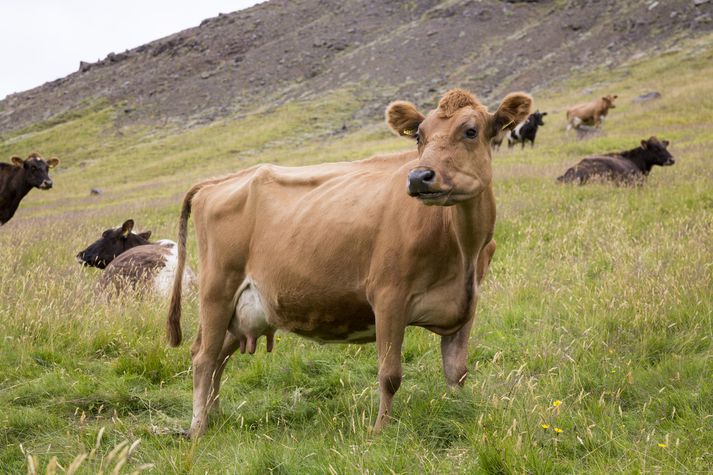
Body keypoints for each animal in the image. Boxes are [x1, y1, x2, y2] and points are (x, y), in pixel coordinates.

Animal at [167, 88, 532, 438]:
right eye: (419, 135)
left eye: (470, 131)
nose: (418, 177)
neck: (462, 248)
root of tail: (218, 181)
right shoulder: (388, 297)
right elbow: (390, 374)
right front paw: (380, 431)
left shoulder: (465, 303)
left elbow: (457, 372)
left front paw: (459, 413)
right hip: (217, 291)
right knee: (203, 357)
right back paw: (198, 428)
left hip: (243, 308)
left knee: (218, 356)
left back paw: (214, 416)